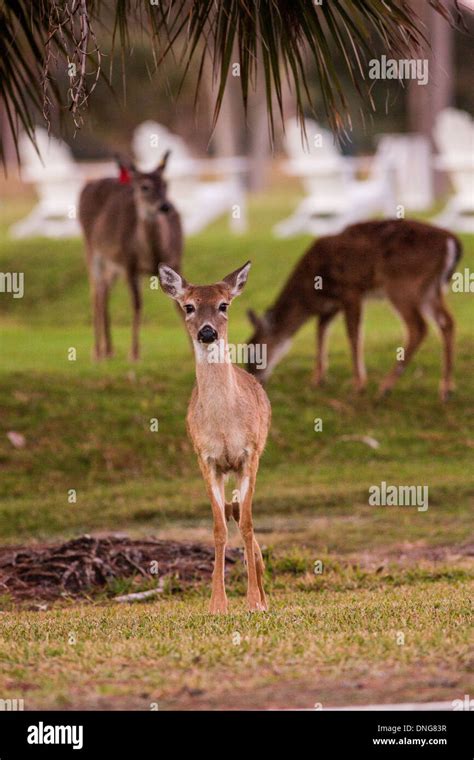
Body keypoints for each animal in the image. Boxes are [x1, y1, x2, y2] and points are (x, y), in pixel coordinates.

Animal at [78, 152, 183, 361]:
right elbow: (136, 305)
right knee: (95, 293)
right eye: (145, 187)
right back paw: (97, 351)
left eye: (166, 183)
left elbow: (180, 304)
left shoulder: (177, 261)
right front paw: (134, 353)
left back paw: (109, 349)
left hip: (113, 263)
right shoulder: (130, 264)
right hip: (92, 248)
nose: (165, 206)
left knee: (104, 291)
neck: (154, 255)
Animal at [158, 261, 271, 614]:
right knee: (231, 513)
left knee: (243, 517)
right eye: (188, 306)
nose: (207, 332)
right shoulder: (206, 459)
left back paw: (263, 592)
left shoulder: (250, 454)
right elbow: (219, 527)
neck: (224, 425)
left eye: (224, 305)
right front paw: (217, 603)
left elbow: (247, 524)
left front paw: (253, 601)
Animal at [246, 219, 462, 401]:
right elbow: (321, 330)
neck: (311, 293)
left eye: (254, 350)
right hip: (430, 289)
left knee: (418, 327)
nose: (255, 376)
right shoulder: (332, 304)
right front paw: (318, 378)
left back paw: (385, 387)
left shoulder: (351, 291)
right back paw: (446, 389)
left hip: (403, 284)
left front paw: (358, 384)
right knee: (447, 321)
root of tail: (452, 241)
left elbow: (353, 334)